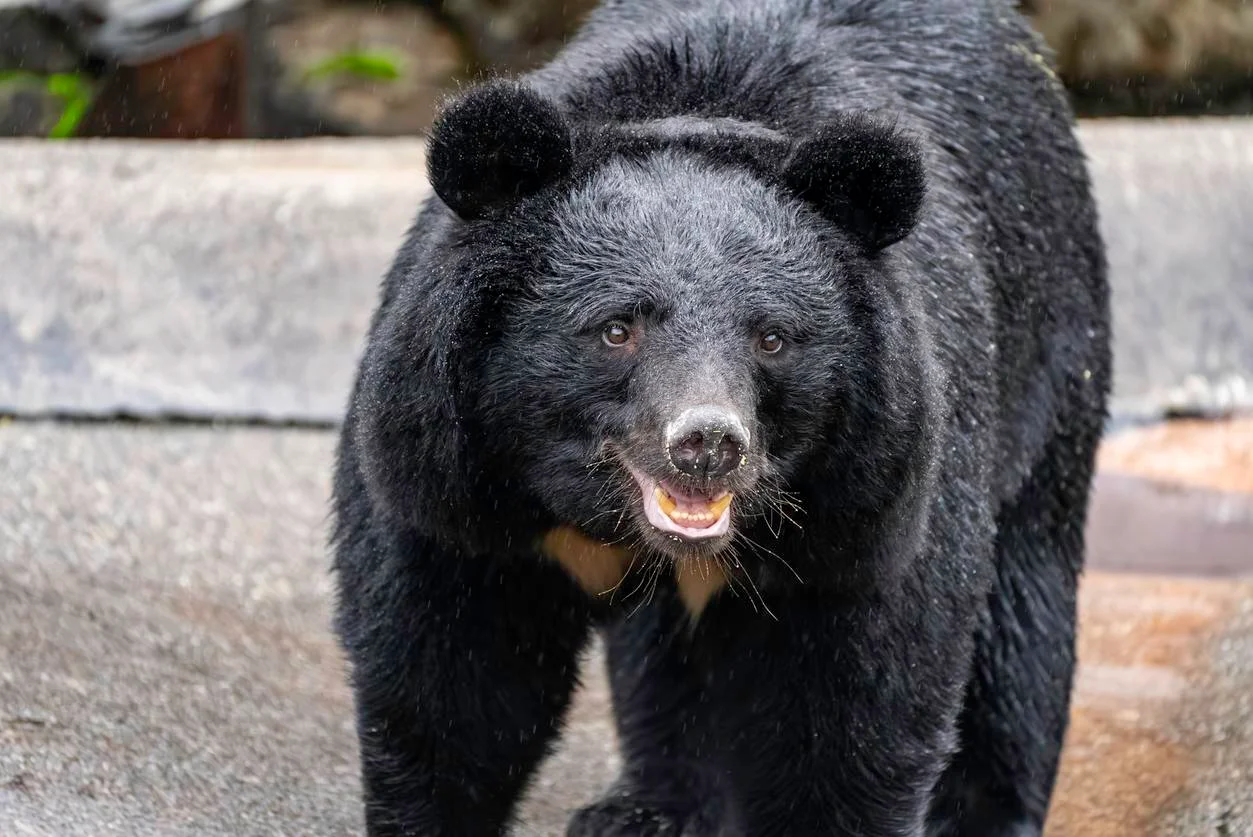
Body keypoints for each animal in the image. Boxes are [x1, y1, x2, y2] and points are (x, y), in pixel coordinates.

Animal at [329, 0, 1112, 835]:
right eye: (616, 328)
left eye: (771, 337)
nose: (706, 442)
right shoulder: (449, 469)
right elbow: (450, 686)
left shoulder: (871, 498)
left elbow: (854, 712)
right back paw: (645, 809)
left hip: (1051, 350)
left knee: (1021, 607)